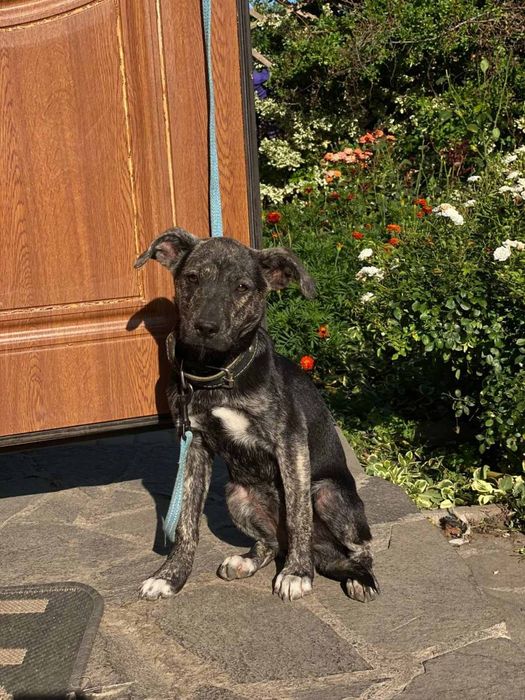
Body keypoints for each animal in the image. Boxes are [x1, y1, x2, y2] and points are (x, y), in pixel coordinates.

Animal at [135, 228, 379, 602]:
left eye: (242, 287)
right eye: (192, 278)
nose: (206, 326)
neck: (216, 371)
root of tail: (324, 550)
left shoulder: (290, 442)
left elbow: (298, 516)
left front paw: (297, 573)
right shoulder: (194, 444)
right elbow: (187, 523)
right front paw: (170, 576)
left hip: (327, 492)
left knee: (359, 548)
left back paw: (358, 577)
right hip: (238, 495)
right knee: (272, 542)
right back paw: (246, 561)